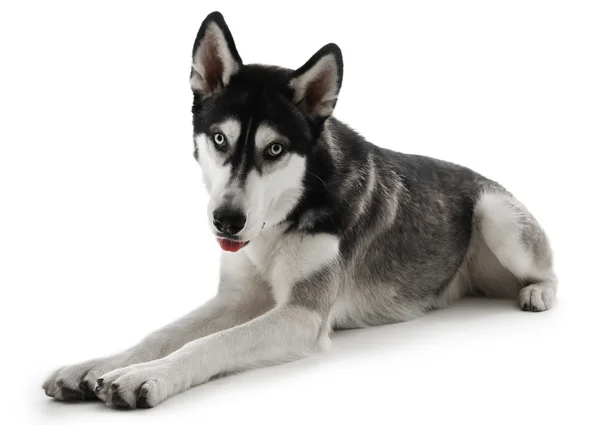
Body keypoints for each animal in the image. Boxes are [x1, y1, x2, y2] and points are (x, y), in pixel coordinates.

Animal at [42, 9, 556, 408]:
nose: (227, 220)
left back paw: (538, 293)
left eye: (274, 149)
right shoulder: (238, 297)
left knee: (546, 269)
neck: (281, 219)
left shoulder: (301, 315)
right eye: (219, 139)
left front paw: (145, 375)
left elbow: (209, 343)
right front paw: (96, 366)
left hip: (495, 213)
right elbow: (163, 334)